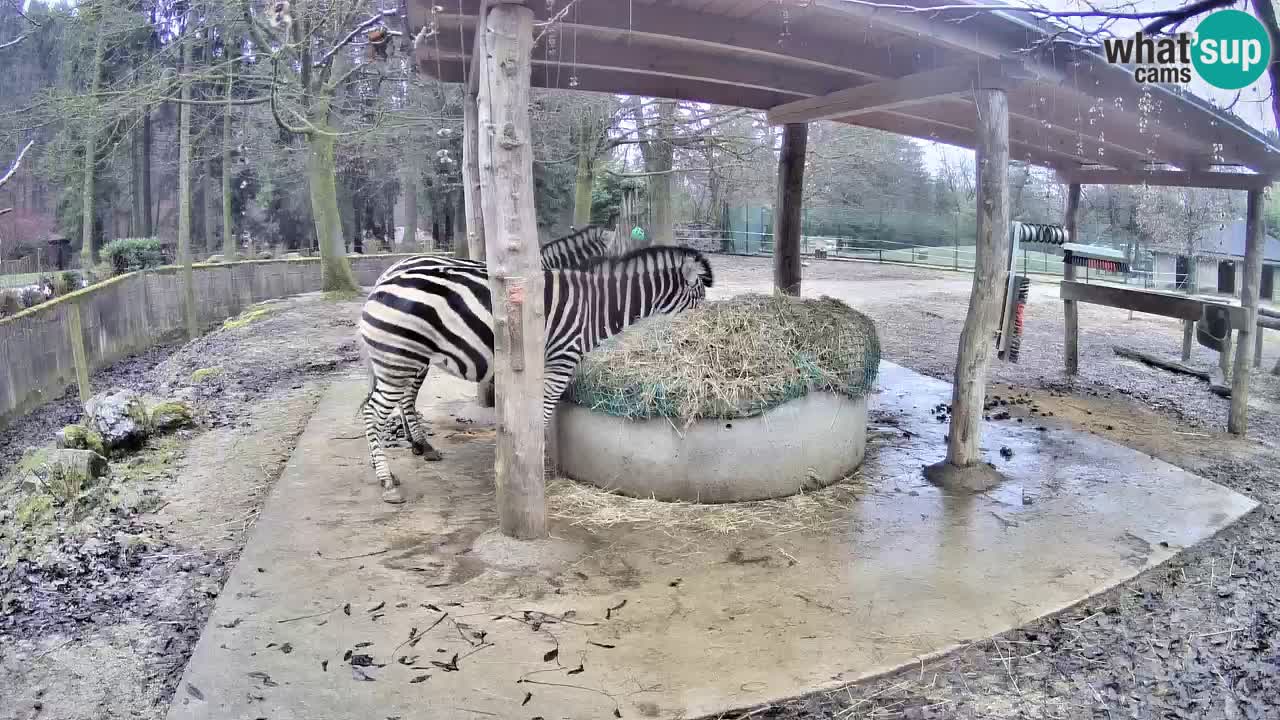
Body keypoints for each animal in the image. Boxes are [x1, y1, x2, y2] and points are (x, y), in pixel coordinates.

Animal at [360, 243, 716, 502]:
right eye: (699, 299)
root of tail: (384, 278)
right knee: (371, 411)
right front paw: (538, 467)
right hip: (400, 357)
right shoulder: (561, 360)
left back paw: (417, 451)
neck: (598, 307)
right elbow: (542, 415)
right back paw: (387, 481)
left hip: (403, 359)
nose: (701, 332)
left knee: (392, 400)